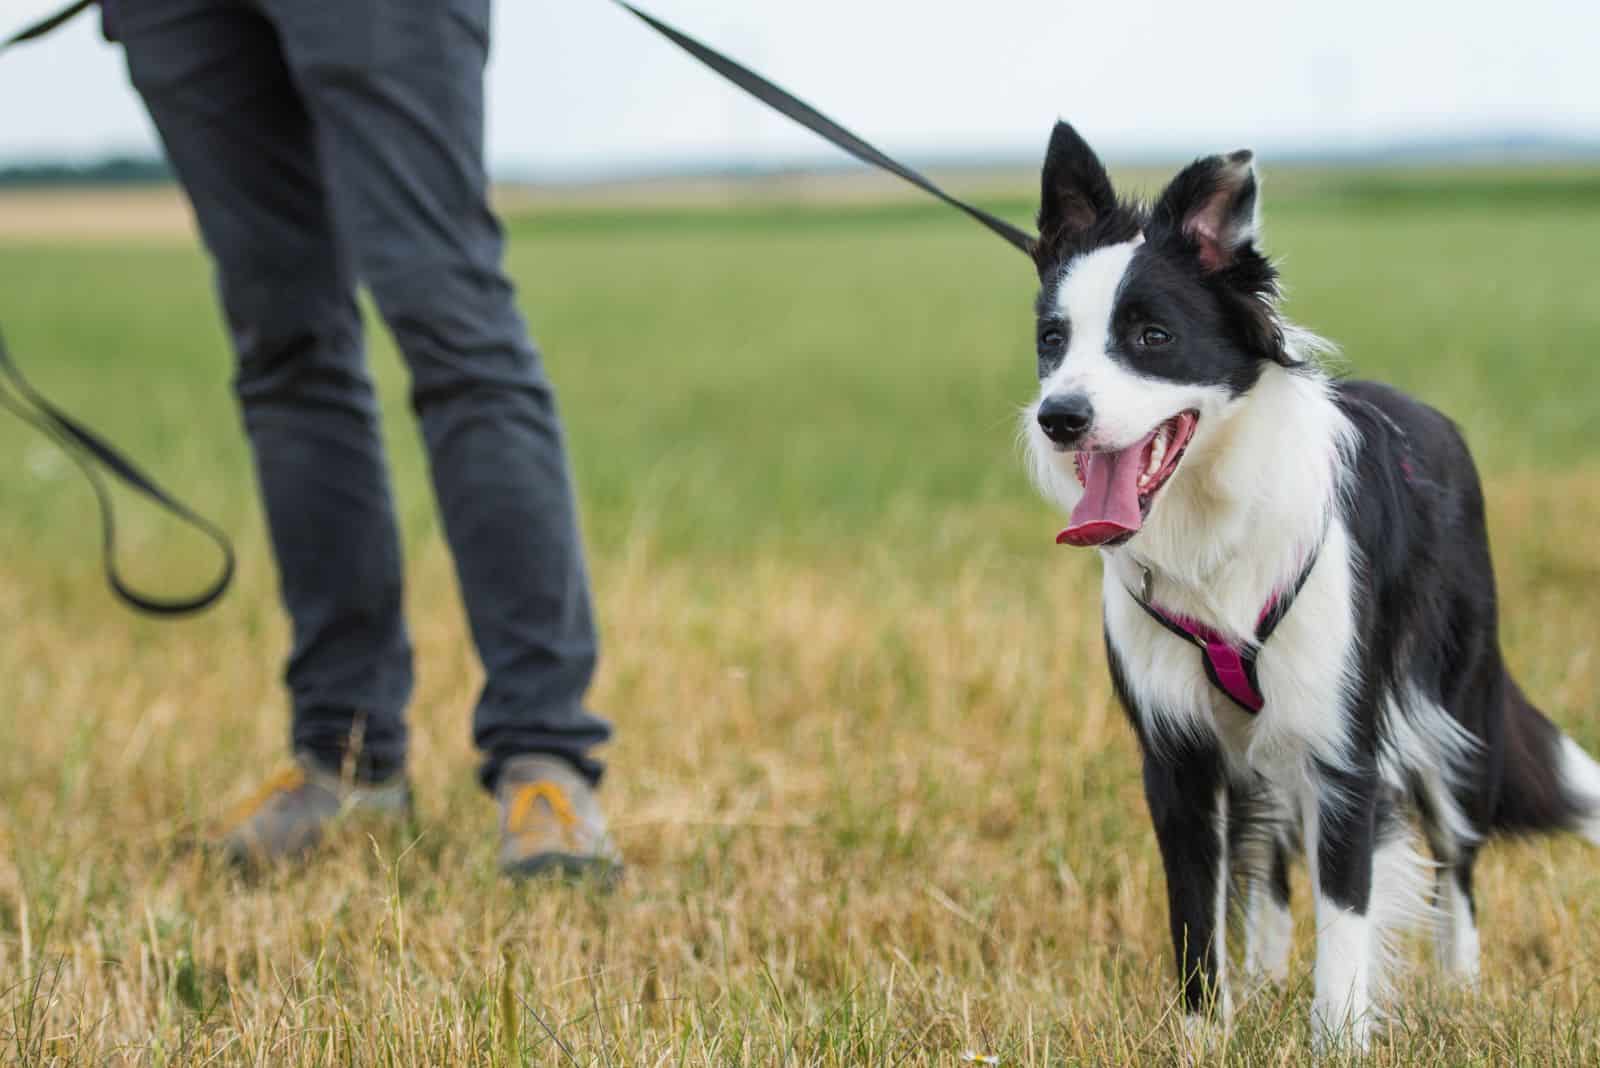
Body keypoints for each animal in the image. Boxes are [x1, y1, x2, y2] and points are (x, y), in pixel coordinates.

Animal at [1024, 120, 1600, 1048]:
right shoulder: (1177, 753)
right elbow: (1198, 909)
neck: (1211, 521)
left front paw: (1338, 1034)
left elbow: (1346, 908)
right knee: (1268, 860)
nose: (1060, 418)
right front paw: (1205, 1033)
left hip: (1456, 711)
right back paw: (1264, 977)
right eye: (1052, 339)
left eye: (1152, 337)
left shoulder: (1343, 744)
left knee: (1458, 858)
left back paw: (1463, 986)